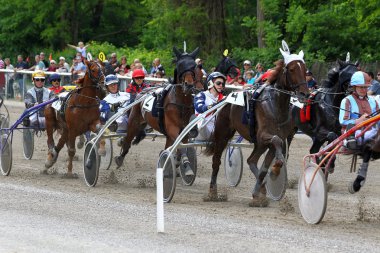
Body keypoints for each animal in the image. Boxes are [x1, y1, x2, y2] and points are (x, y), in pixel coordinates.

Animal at [205, 43, 308, 206]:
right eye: (291, 69)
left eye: (305, 69)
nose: (305, 94)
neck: (275, 105)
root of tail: (225, 98)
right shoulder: (264, 136)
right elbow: (276, 143)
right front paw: (276, 169)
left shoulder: (271, 140)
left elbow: (265, 167)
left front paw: (259, 191)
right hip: (223, 134)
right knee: (216, 161)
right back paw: (212, 192)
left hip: (258, 143)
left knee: (251, 160)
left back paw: (261, 189)